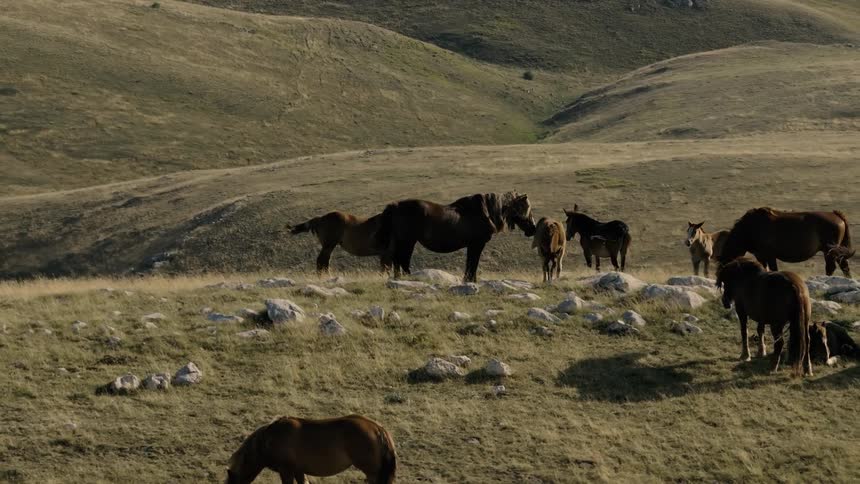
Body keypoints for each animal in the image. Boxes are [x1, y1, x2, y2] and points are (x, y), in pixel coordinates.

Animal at [375, 192, 536, 283]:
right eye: (525, 208)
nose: (533, 229)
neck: (485, 212)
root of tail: (395, 206)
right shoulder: (477, 244)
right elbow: (473, 263)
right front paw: (472, 281)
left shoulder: (472, 245)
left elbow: (470, 263)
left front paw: (469, 280)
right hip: (407, 241)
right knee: (402, 260)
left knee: (398, 261)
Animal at [719, 207, 854, 277]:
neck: (750, 228)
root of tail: (837, 215)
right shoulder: (761, 256)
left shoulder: (770, 255)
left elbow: (773, 270)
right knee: (844, 266)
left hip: (829, 251)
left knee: (833, 267)